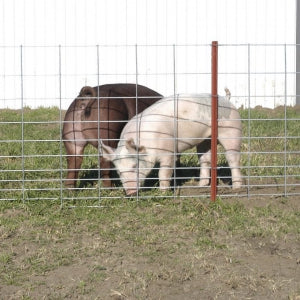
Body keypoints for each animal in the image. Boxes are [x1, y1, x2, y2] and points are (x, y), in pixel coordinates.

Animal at [102, 90, 243, 196]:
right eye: (119, 171)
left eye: (134, 166)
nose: (130, 193)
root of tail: (226, 99)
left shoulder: (168, 152)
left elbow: (163, 173)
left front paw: (163, 193)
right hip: (205, 140)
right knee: (205, 159)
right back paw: (200, 185)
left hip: (231, 130)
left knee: (233, 159)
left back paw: (236, 187)